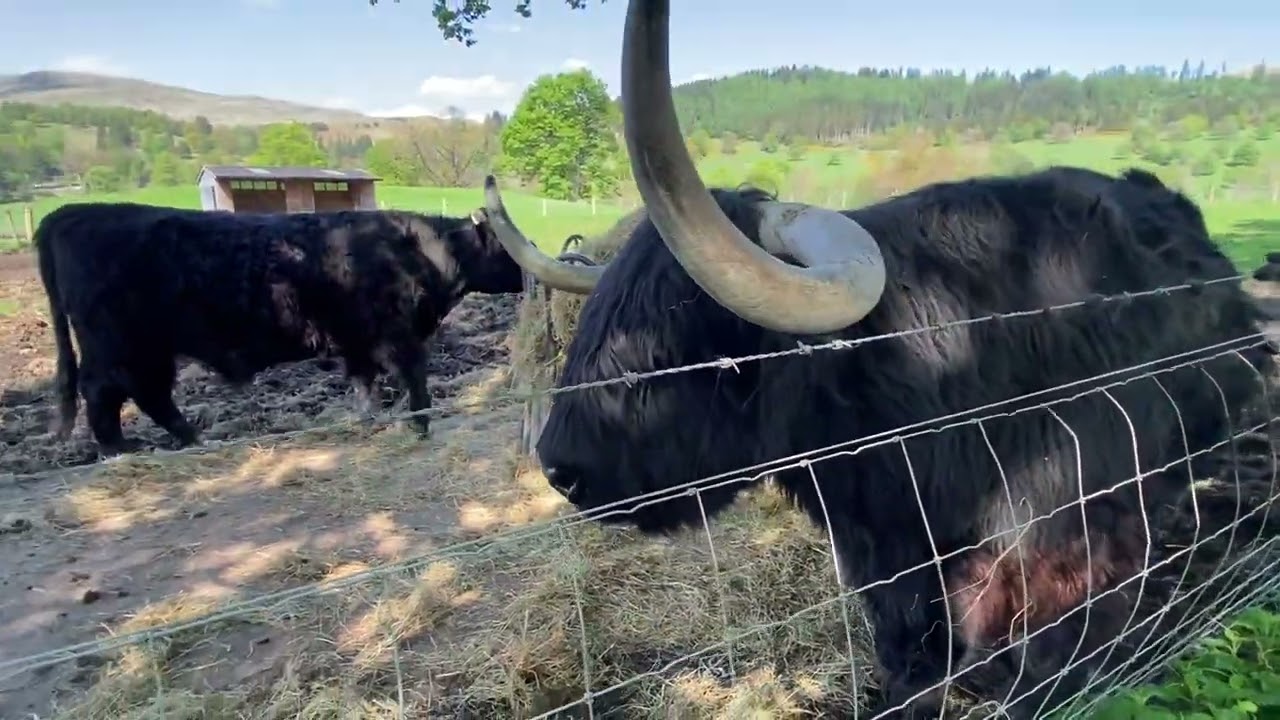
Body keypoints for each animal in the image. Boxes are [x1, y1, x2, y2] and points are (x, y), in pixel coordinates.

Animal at [34, 201, 524, 456]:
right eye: (510, 246)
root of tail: (71, 212)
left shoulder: (357, 340)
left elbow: (365, 383)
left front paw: (369, 420)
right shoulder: (397, 335)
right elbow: (415, 382)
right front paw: (419, 426)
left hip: (144, 349)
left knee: (140, 395)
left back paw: (185, 439)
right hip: (123, 346)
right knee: (109, 391)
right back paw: (125, 447)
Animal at [475, 0, 1280, 717]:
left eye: (674, 342)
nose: (561, 468)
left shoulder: (1063, 553)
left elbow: (1037, 672)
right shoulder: (886, 563)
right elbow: (907, 665)